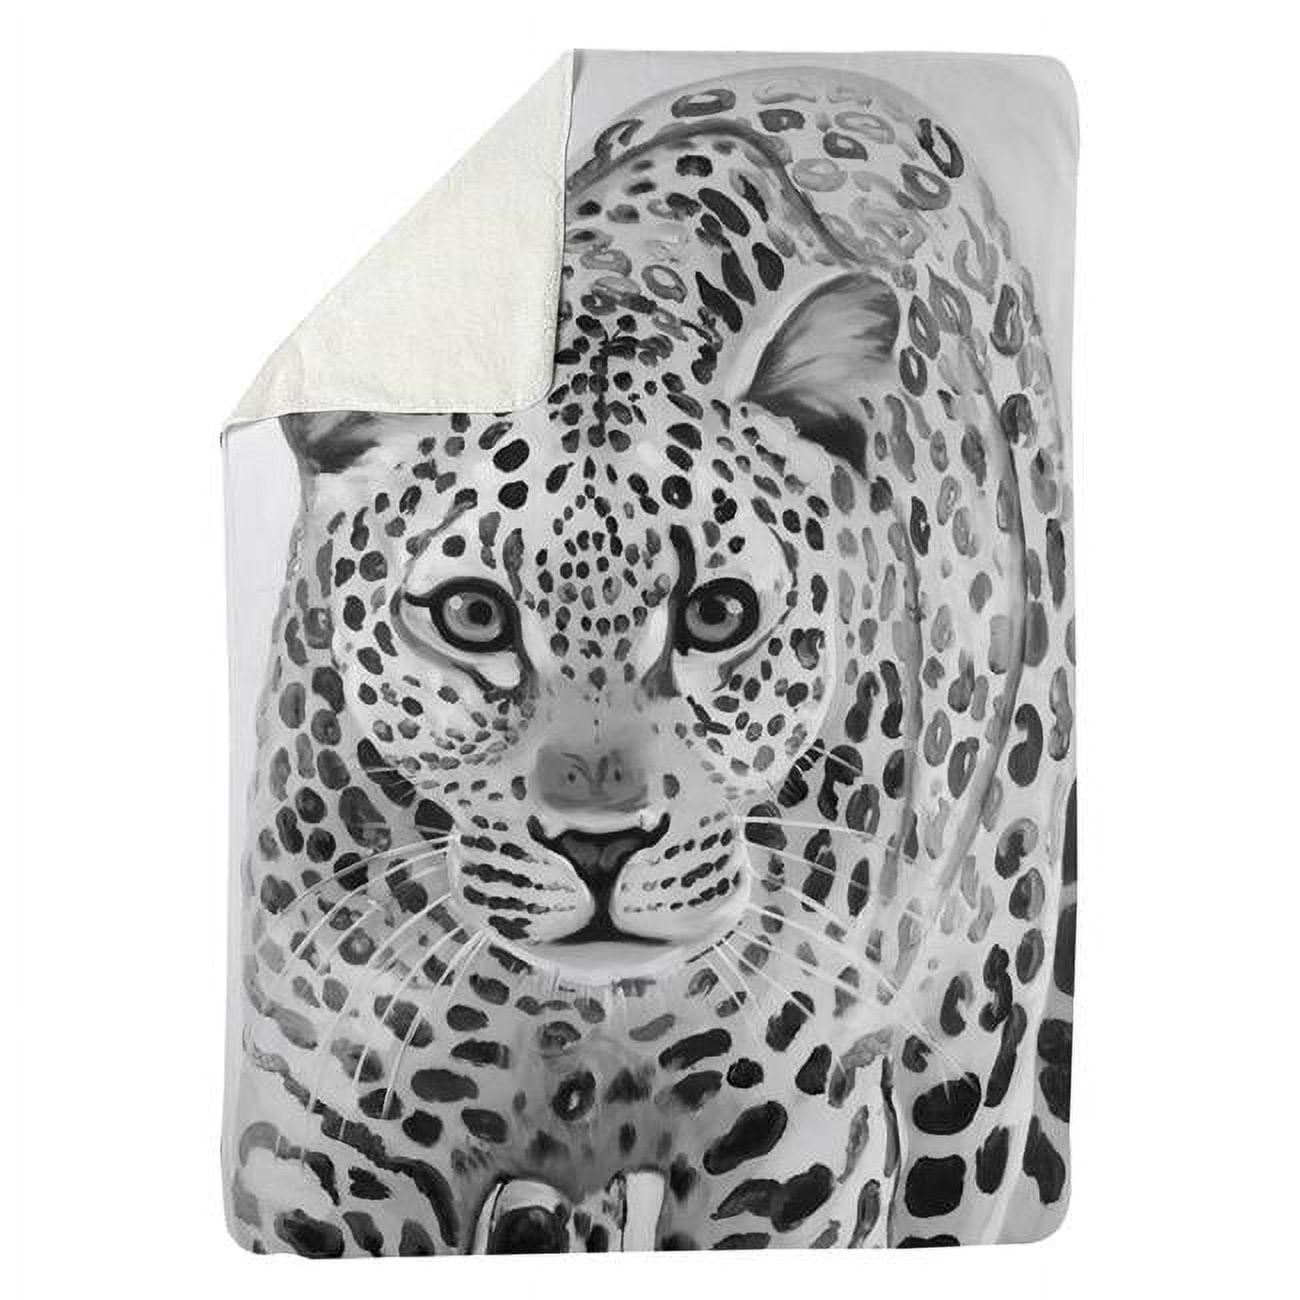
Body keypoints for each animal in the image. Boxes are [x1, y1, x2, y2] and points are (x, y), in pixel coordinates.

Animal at [225, 65, 1076, 1255]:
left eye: (715, 614)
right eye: (474, 615)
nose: (599, 846)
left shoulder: (799, 1148)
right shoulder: (325, 1143)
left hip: (975, 1038)